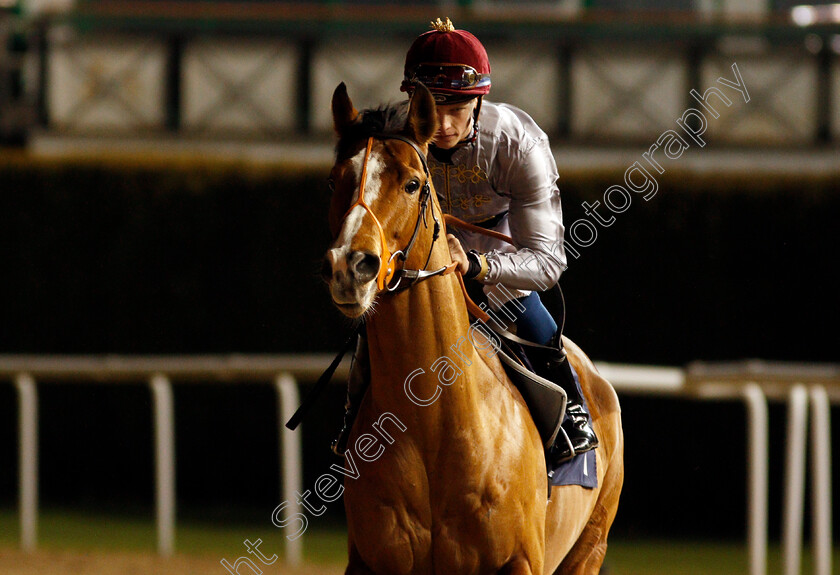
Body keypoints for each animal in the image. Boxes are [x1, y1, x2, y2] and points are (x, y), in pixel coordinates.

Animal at [322, 82, 624, 575]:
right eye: (335, 180)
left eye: (413, 183)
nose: (351, 266)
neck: (434, 426)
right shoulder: (370, 561)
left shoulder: (522, 561)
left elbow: (546, 252)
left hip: (590, 546)